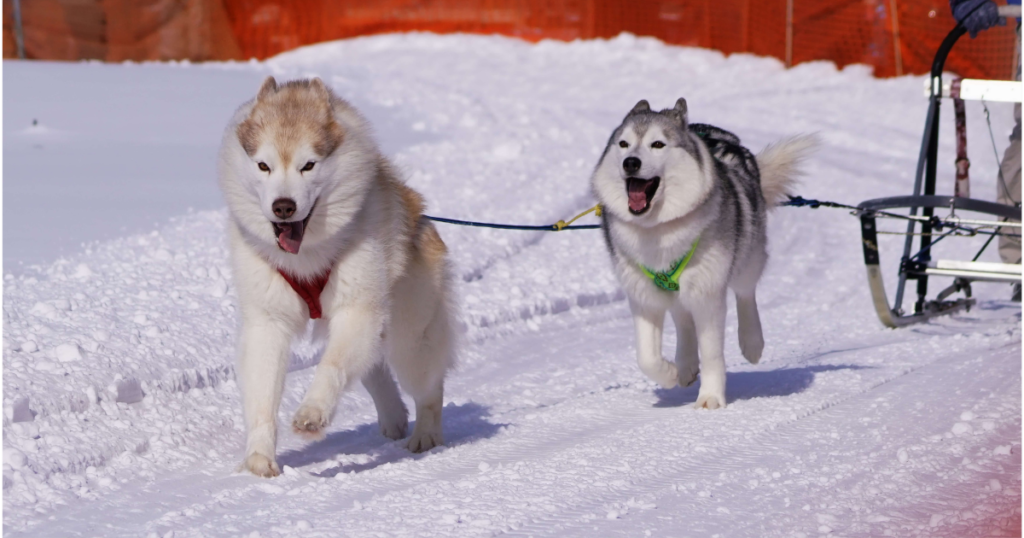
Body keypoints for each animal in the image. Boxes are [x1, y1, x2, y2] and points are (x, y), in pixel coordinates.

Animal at [218, 77, 454, 475]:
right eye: (263, 165)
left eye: (308, 165)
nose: (284, 207)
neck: (307, 258)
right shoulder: (267, 323)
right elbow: (263, 398)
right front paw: (259, 459)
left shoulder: (357, 312)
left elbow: (332, 366)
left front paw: (312, 415)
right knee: (375, 369)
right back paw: (394, 416)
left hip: (410, 338)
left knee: (427, 385)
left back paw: (425, 434)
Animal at [593, 97, 815, 407]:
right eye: (624, 144)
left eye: (657, 144)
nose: (631, 162)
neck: (658, 229)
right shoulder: (643, 297)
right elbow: (646, 357)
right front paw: (670, 373)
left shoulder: (708, 295)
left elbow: (711, 353)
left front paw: (710, 397)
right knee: (683, 318)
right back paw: (685, 364)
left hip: (747, 256)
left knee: (746, 293)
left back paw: (752, 342)